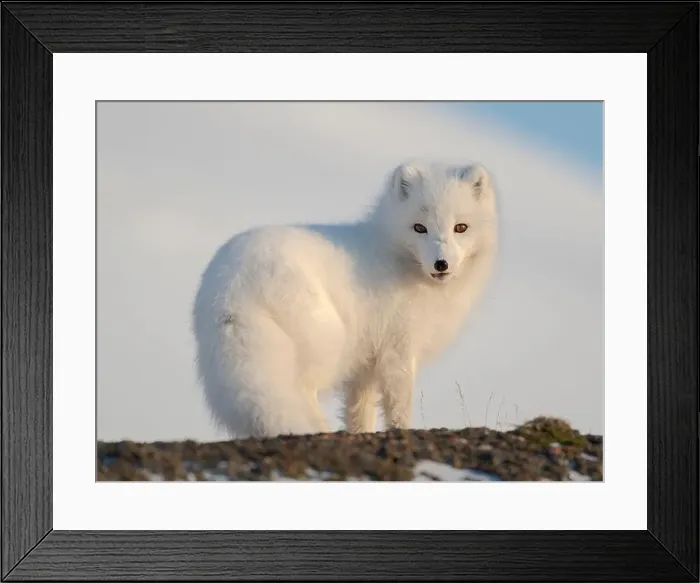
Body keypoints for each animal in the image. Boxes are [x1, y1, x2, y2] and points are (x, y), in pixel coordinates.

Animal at [192, 160, 499, 438]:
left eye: (461, 227)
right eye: (419, 228)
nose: (441, 264)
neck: (397, 257)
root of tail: (232, 287)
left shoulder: (366, 365)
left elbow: (359, 410)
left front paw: (360, 434)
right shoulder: (398, 348)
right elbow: (399, 406)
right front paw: (401, 432)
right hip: (328, 343)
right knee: (301, 390)